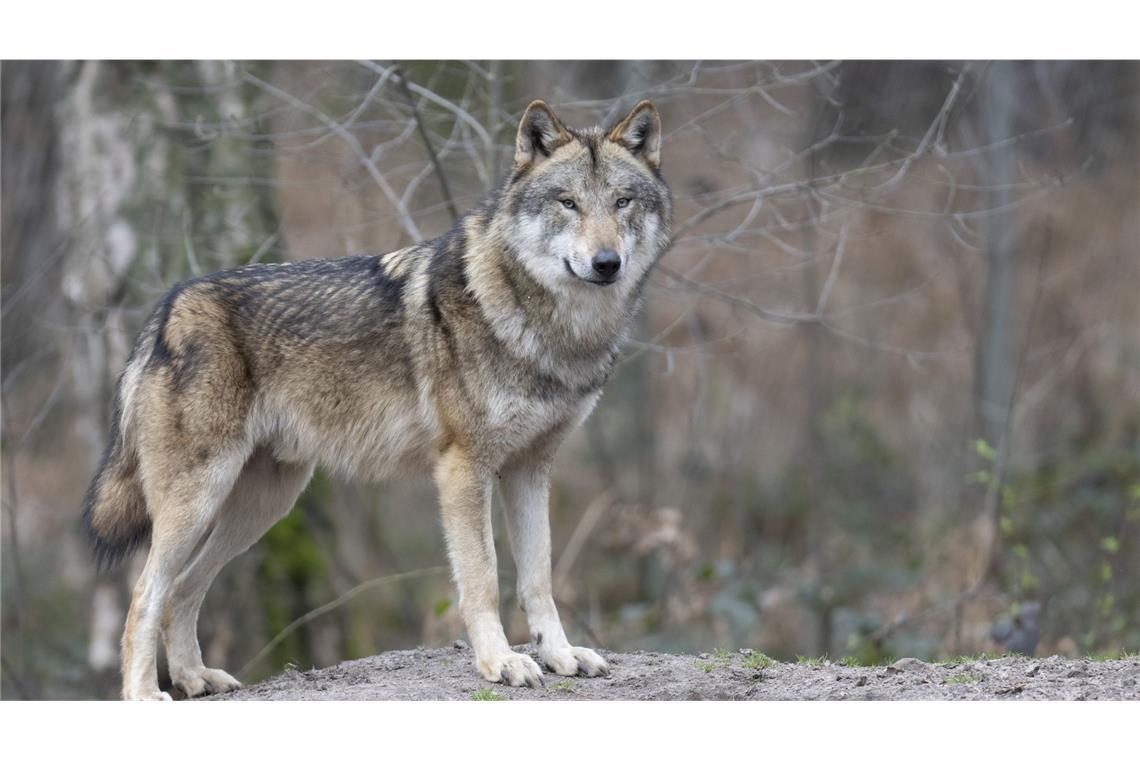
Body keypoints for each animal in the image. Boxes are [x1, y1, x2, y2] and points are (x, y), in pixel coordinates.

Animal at [82, 99, 672, 700]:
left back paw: (196, 677)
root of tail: (166, 308)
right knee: (145, 596)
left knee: (183, 589)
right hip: (200, 499)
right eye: (568, 202)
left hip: (263, 506)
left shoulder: (531, 468)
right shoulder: (464, 468)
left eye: (621, 202)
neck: (551, 330)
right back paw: (145, 693)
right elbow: (483, 578)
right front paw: (500, 662)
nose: (607, 262)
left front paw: (559, 655)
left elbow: (538, 578)